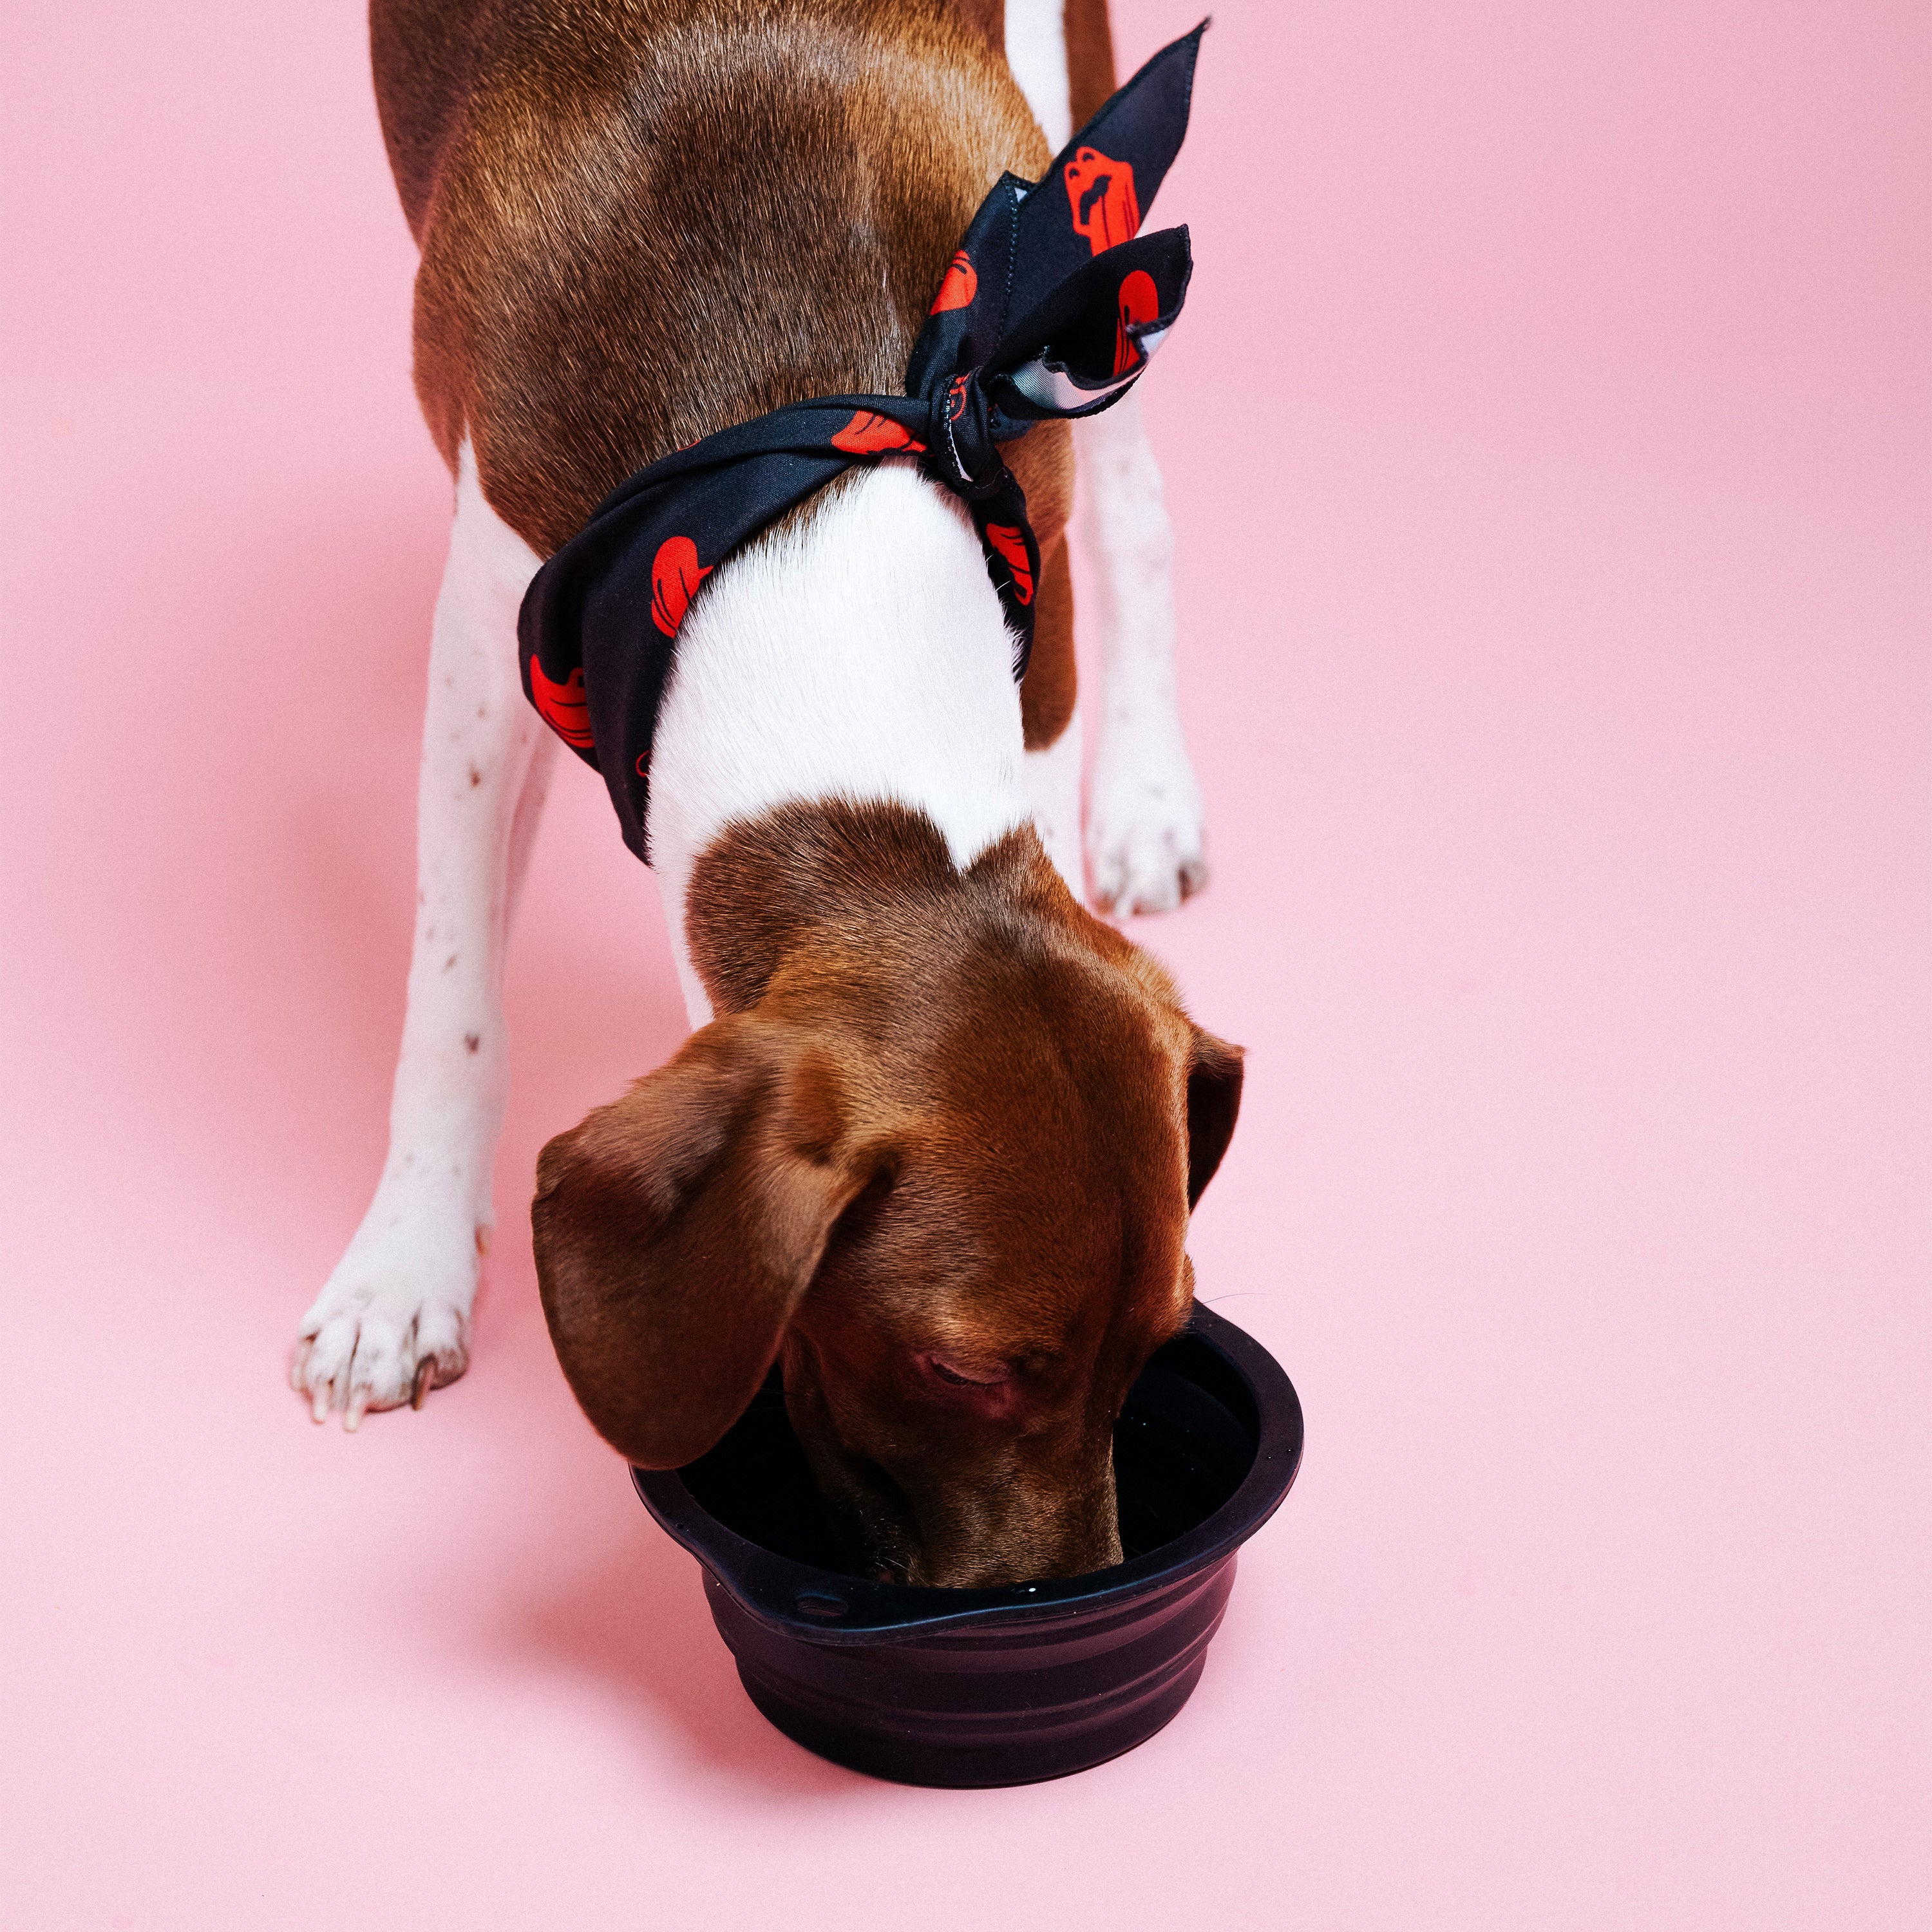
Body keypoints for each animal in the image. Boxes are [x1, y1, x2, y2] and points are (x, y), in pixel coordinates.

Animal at [298, 0, 1236, 1584]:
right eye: (965, 1370)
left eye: (1158, 1344)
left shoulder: (1032, 573)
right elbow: (454, 1001)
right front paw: (404, 1263)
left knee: (1148, 512)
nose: (1066, 1604)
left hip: (1094, 264)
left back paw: (1149, 794)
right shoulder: (485, 642)